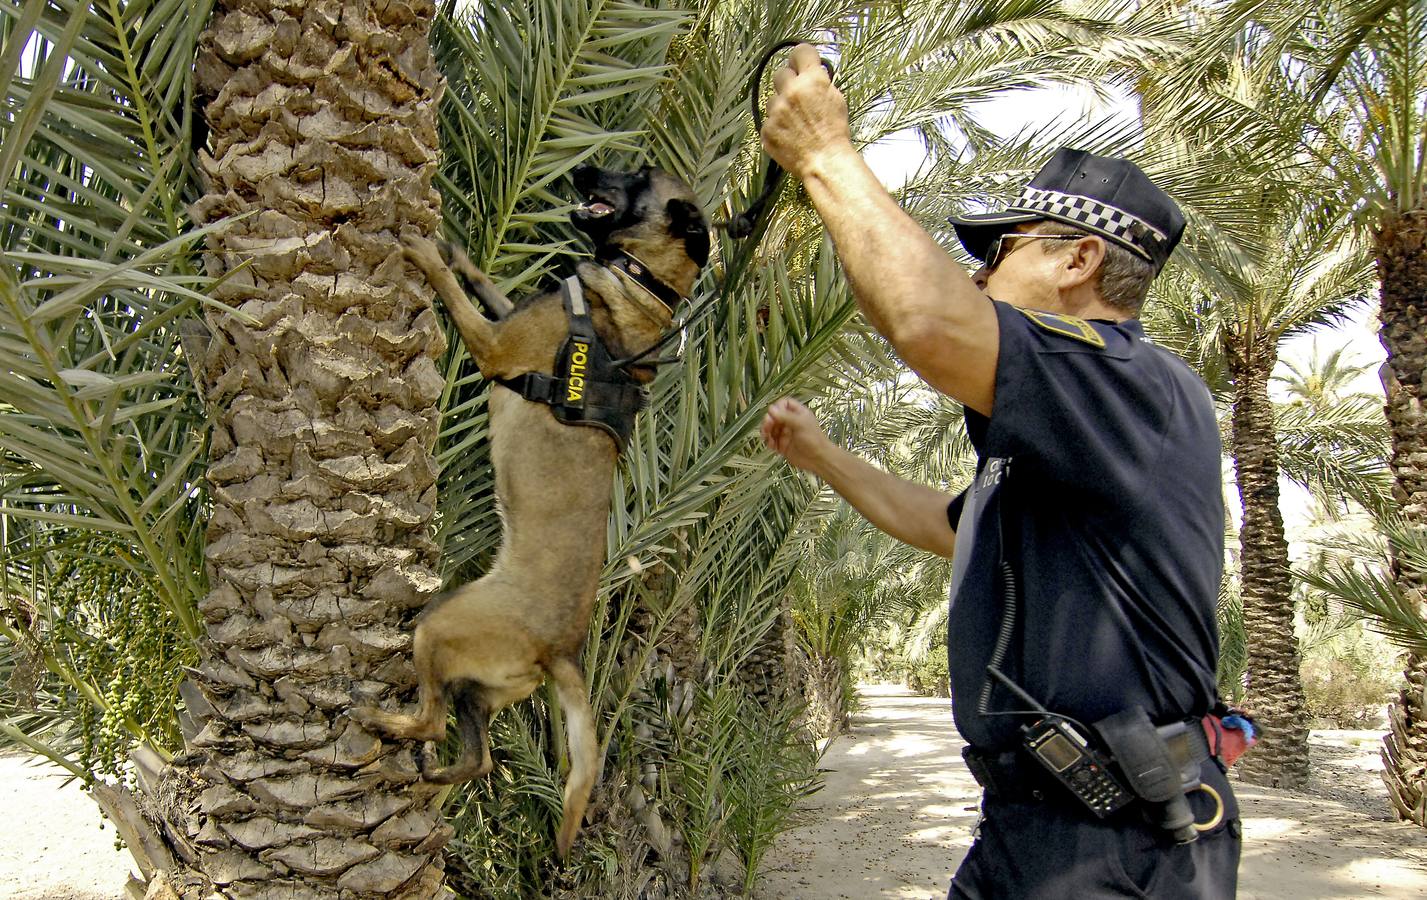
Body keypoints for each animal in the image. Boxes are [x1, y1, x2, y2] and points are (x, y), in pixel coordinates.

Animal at [353, 164, 710, 861]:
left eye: (637, 175)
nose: (583, 169)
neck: (636, 289)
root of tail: (563, 652)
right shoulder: (507, 313)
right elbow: (484, 284)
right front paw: (455, 251)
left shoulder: (494, 345)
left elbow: (453, 295)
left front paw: (423, 253)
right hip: (479, 689)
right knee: (479, 759)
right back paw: (431, 775)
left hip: (437, 627)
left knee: (436, 722)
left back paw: (387, 723)